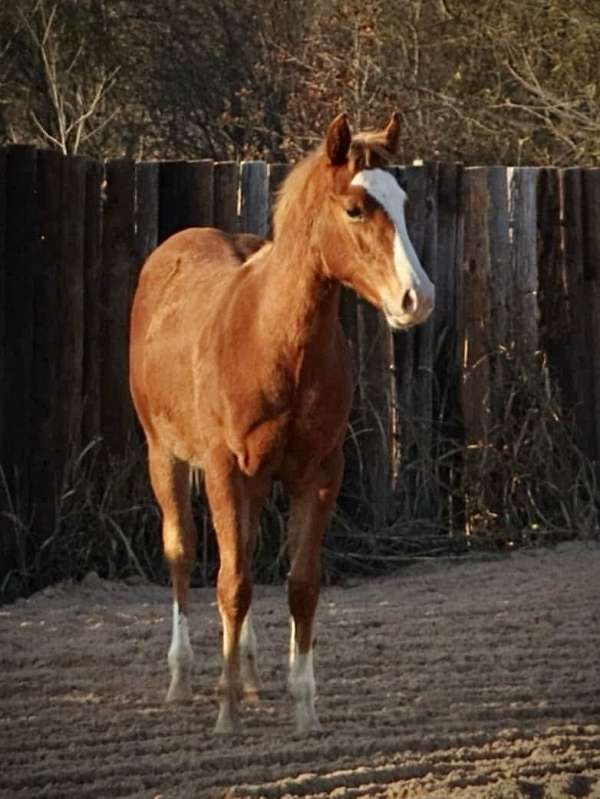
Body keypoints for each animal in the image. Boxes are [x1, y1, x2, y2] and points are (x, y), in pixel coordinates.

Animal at [129, 114, 434, 736]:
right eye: (355, 209)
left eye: (403, 201)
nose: (417, 299)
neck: (269, 339)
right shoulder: (223, 470)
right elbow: (231, 583)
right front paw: (224, 714)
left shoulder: (317, 472)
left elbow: (300, 585)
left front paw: (305, 709)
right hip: (164, 457)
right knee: (182, 554)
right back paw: (183, 681)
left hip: (255, 480)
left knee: (244, 553)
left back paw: (248, 675)